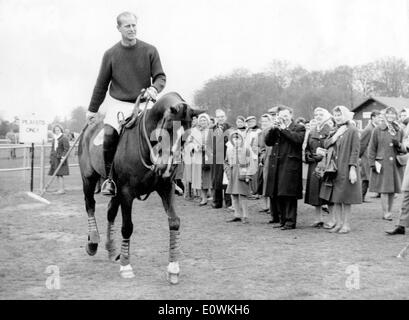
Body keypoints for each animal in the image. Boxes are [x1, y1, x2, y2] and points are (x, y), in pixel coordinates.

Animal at [77, 92, 203, 282]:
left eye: (184, 136)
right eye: (168, 129)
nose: (166, 168)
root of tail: (89, 128)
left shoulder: (166, 188)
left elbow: (174, 222)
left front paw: (173, 268)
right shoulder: (126, 193)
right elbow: (127, 227)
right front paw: (126, 266)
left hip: (114, 191)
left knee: (110, 213)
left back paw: (112, 248)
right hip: (89, 179)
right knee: (90, 205)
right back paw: (93, 242)